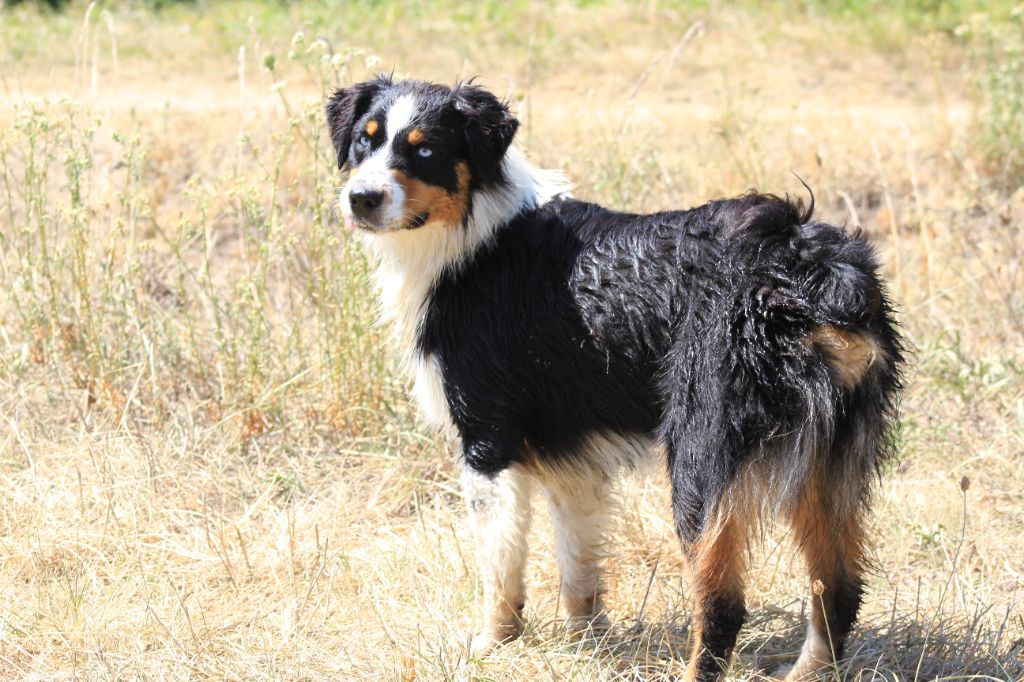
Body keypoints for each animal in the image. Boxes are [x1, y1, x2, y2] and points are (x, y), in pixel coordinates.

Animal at [323, 74, 901, 679]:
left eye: (425, 150)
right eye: (364, 142)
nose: (361, 199)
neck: (475, 234)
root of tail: (809, 272)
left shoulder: (487, 441)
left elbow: (500, 569)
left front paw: (490, 646)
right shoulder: (569, 454)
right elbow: (578, 568)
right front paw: (587, 645)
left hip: (701, 455)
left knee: (723, 604)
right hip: (827, 459)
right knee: (838, 587)